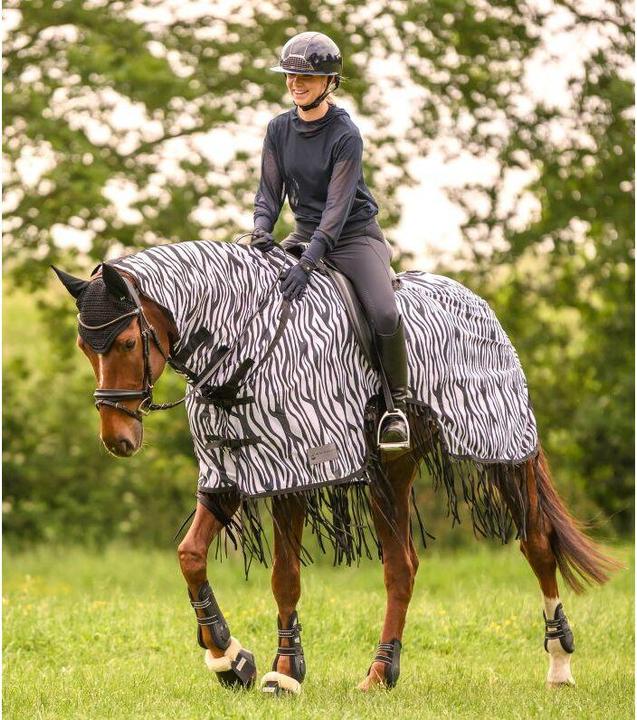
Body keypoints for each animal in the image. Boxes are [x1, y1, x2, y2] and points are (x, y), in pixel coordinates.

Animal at [52, 239, 618, 695]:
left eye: (128, 342)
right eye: (84, 346)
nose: (118, 440)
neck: (247, 347)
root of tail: (479, 305)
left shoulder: (292, 474)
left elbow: (284, 576)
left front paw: (283, 673)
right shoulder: (230, 473)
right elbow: (190, 556)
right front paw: (229, 659)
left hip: (504, 452)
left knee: (537, 544)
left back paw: (559, 666)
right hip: (390, 471)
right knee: (402, 566)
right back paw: (381, 673)